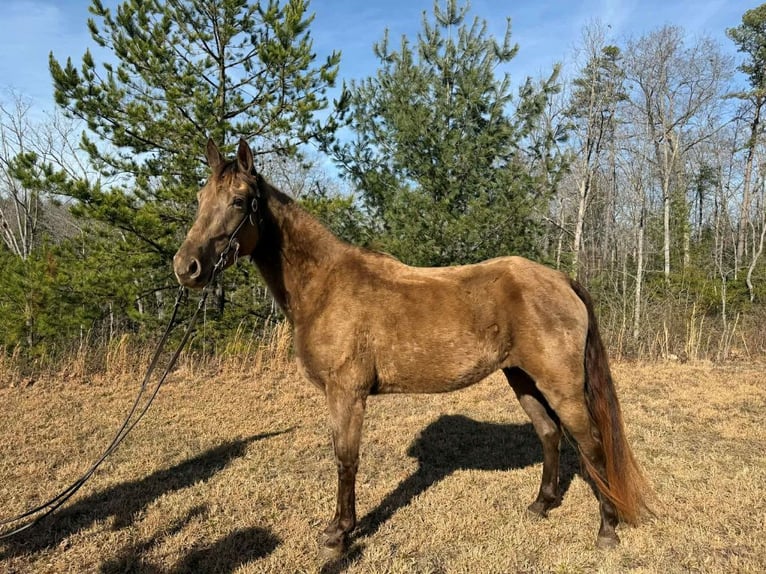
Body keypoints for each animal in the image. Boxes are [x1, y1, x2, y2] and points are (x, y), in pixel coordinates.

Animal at [173, 138, 651, 556]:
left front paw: (339, 534)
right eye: (200, 198)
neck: (325, 285)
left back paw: (607, 531)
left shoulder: (346, 394)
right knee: (550, 433)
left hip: (562, 385)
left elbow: (346, 460)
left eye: (239, 201)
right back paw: (542, 504)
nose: (186, 267)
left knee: (592, 446)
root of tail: (562, 280)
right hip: (523, 379)